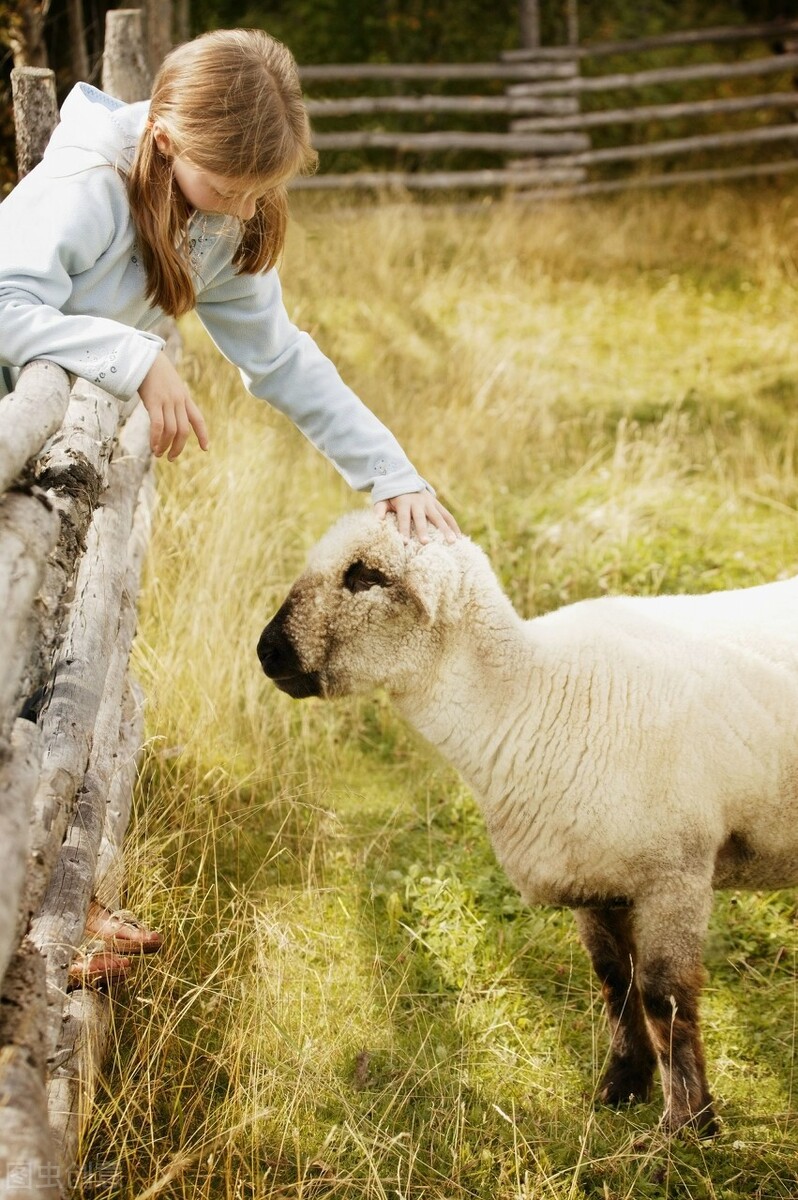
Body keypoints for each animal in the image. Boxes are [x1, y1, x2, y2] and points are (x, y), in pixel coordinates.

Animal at [256, 508, 798, 1132]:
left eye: (365, 576)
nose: (266, 651)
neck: (529, 696)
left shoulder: (675, 875)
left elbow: (665, 996)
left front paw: (686, 1124)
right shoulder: (597, 880)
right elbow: (616, 982)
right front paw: (620, 1087)